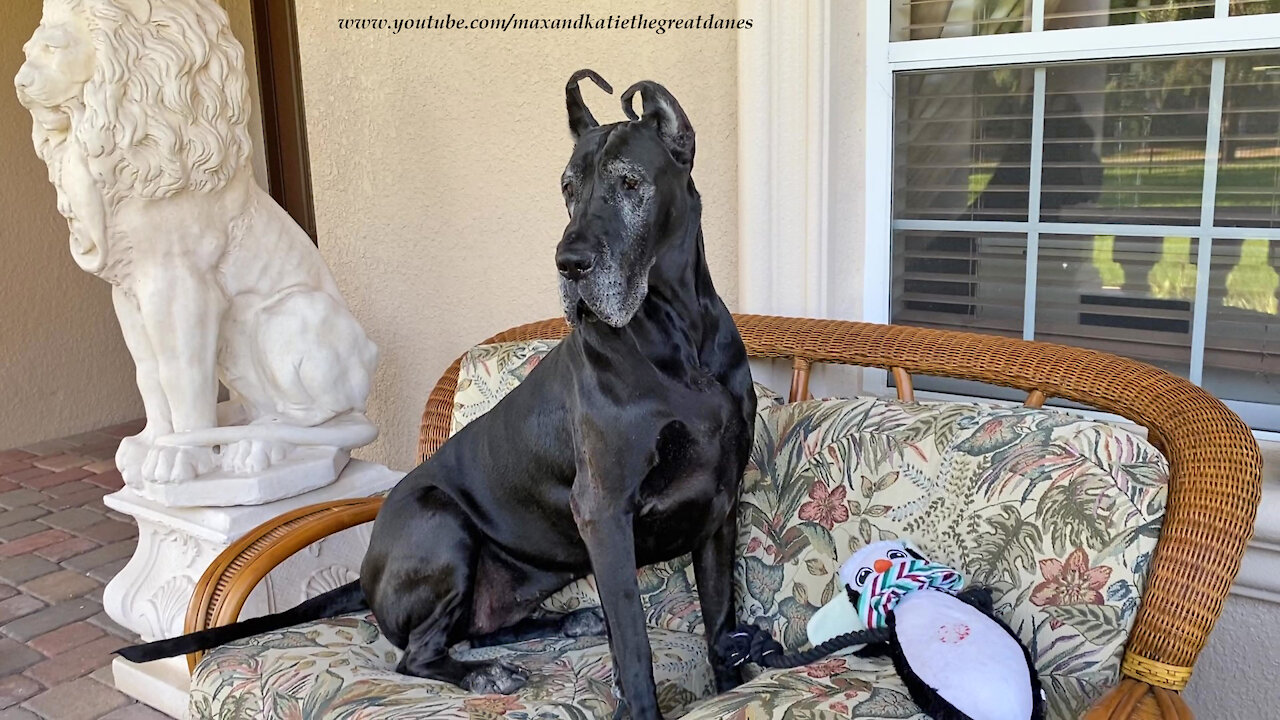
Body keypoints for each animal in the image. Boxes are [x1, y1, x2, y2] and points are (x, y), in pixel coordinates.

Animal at [119, 68, 747, 717]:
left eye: (629, 182)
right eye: (568, 189)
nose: (568, 263)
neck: (679, 337)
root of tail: (366, 570)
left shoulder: (721, 501)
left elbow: (722, 620)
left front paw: (735, 680)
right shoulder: (604, 509)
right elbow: (634, 641)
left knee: (479, 627)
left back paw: (562, 625)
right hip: (441, 525)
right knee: (417, 655)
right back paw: (484, 674)